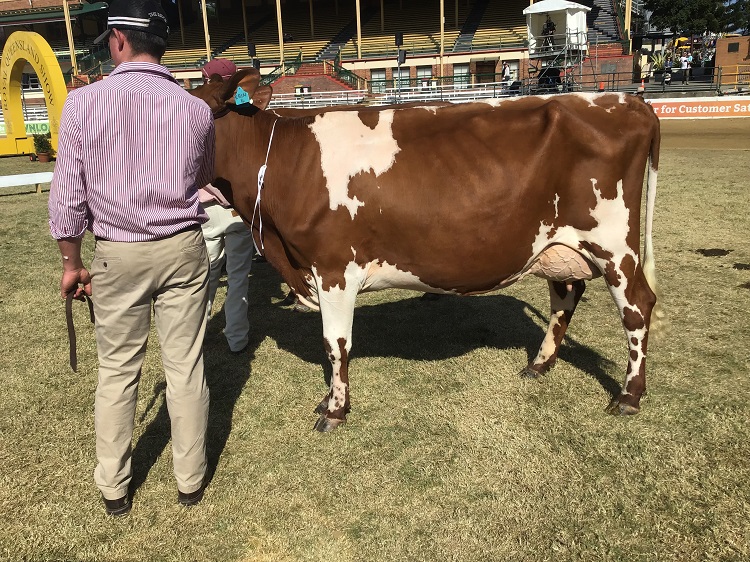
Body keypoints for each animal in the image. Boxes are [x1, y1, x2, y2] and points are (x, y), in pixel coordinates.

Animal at [191, 69, 660, 428]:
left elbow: (335, 343)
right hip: (557, 243)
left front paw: (336, 410)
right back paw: (539, 364)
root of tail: (627, 100)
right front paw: (330, 401)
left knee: (638, 305)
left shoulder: (334, 268)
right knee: (566, 294)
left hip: (614, 245)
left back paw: (629, 396)